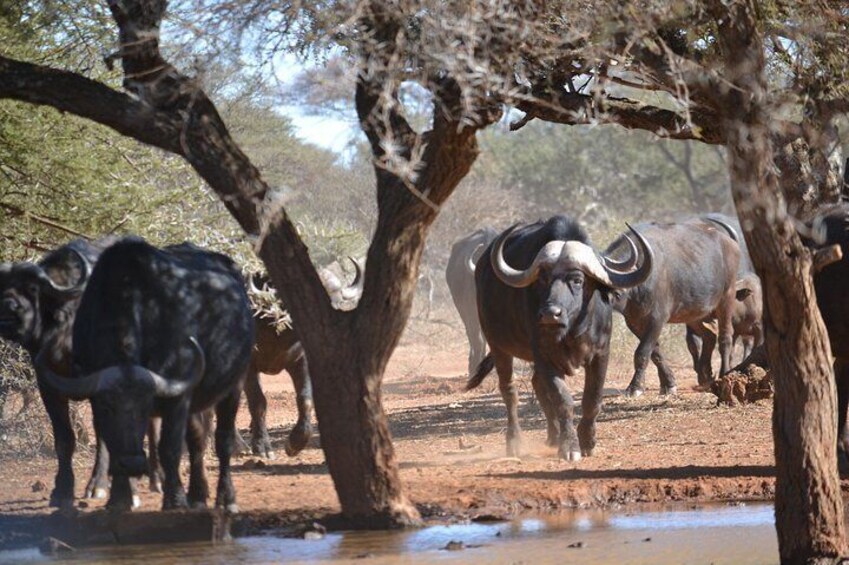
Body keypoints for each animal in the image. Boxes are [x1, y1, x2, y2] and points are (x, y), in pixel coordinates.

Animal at [40, 238, 252, 512]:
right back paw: (197, 496)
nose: (132, 464)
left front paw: (175, 500)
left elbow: (170, 448)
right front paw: (119, 499)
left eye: (145, 407)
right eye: (108, 408)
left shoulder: (178, 396)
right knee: (197, 441)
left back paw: (226, 499)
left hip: (234, 385)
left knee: (223, 440)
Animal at [468, 216, 652, 458]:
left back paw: (553, 435)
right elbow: (562, 400)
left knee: (536, 384)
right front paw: (570, 446)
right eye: (542, 279)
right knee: (510, 391)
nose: (549, 314)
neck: (573, 330)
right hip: (498, 346)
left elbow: (592, 399)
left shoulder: (601, 354)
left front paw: (588, 441)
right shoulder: (545, 356)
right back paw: (515, 441)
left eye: (577, 280)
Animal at [608, 217, 740, 396]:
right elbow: (655, 352)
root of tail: (731, 244)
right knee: (709, 336)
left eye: (616, 292)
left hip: (727, 298)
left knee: (725, 337)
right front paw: (668, 383)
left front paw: (634, 387)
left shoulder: (657, 318)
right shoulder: (634, 321)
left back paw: (724, 373)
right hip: (694, 313)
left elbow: (642, 352)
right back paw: (705, 376)